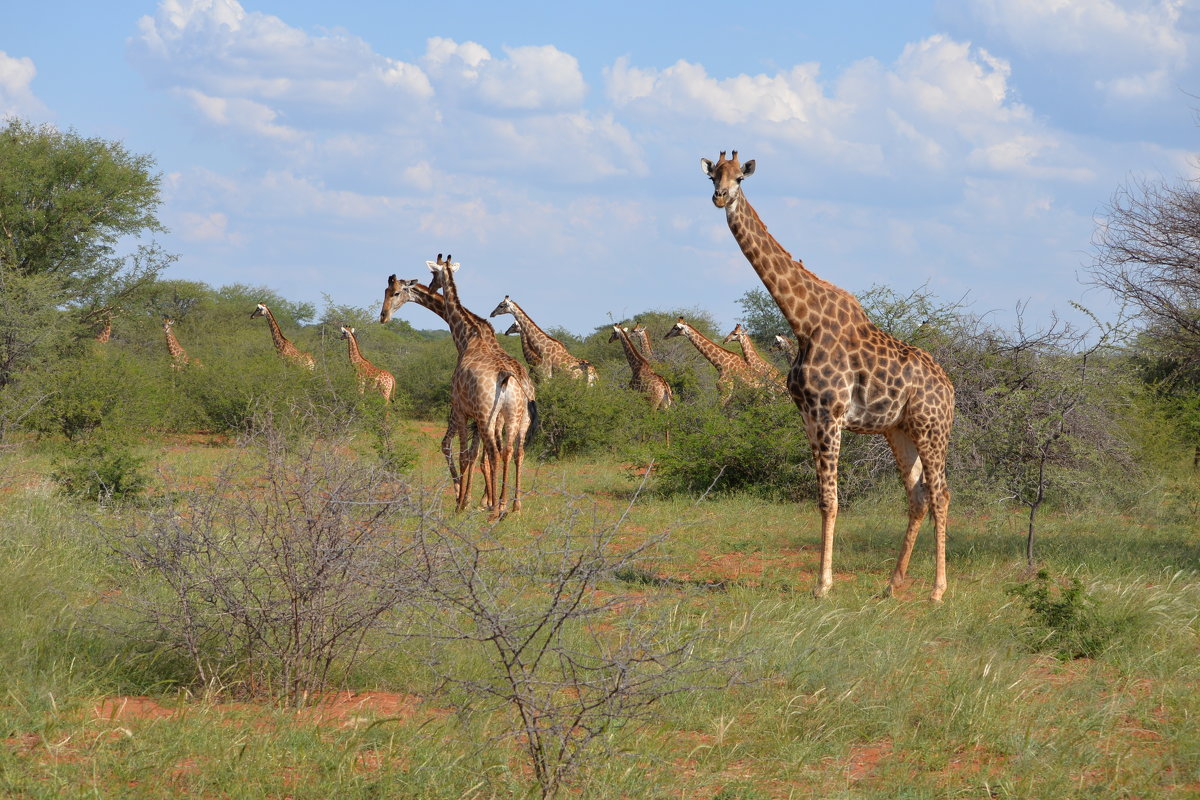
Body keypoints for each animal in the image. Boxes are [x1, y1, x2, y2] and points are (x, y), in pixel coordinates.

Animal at [700, 149, 955, 599]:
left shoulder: (830, 414)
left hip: (931, 428)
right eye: (712, 175)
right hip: (900, 430)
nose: (720, 197)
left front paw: (823, 585)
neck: (804, 322)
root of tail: (952, 391)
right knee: (918, 495)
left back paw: (938, 591)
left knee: (941, 494)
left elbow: (831, 500)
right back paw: (892, 584)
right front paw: (827, 580)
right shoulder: (807, 415)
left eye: (740, 179)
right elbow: (822, 498)